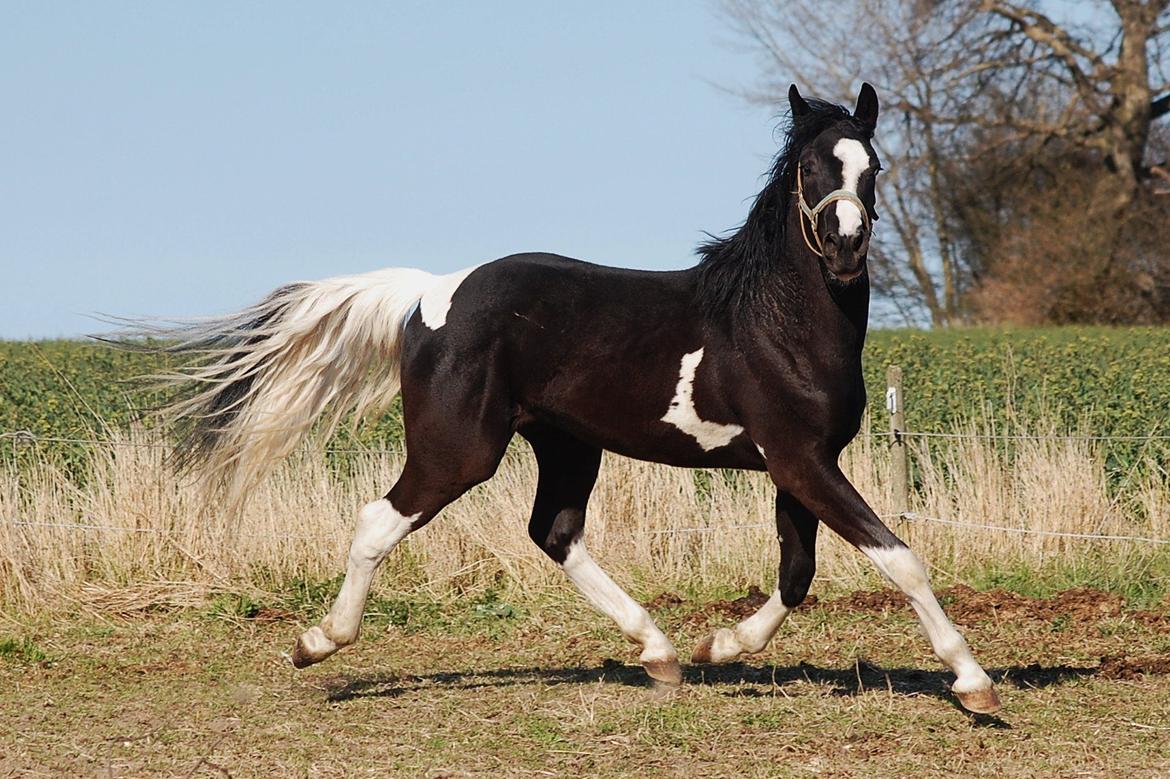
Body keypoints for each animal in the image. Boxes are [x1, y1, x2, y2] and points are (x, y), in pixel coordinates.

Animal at [134, 83, 996, 711]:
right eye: (811, 169)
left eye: (872, 166)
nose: (846, 248)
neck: (774, 319)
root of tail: (428, 293)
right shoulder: (801, 459)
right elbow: (898, 557)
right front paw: (974, 682)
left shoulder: (798, 463)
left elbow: (796, 572)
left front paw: (720, 645)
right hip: (459, 449)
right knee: (382, 519)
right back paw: (317, 642)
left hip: (566, 442)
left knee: (554, 531)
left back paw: (661, 651)